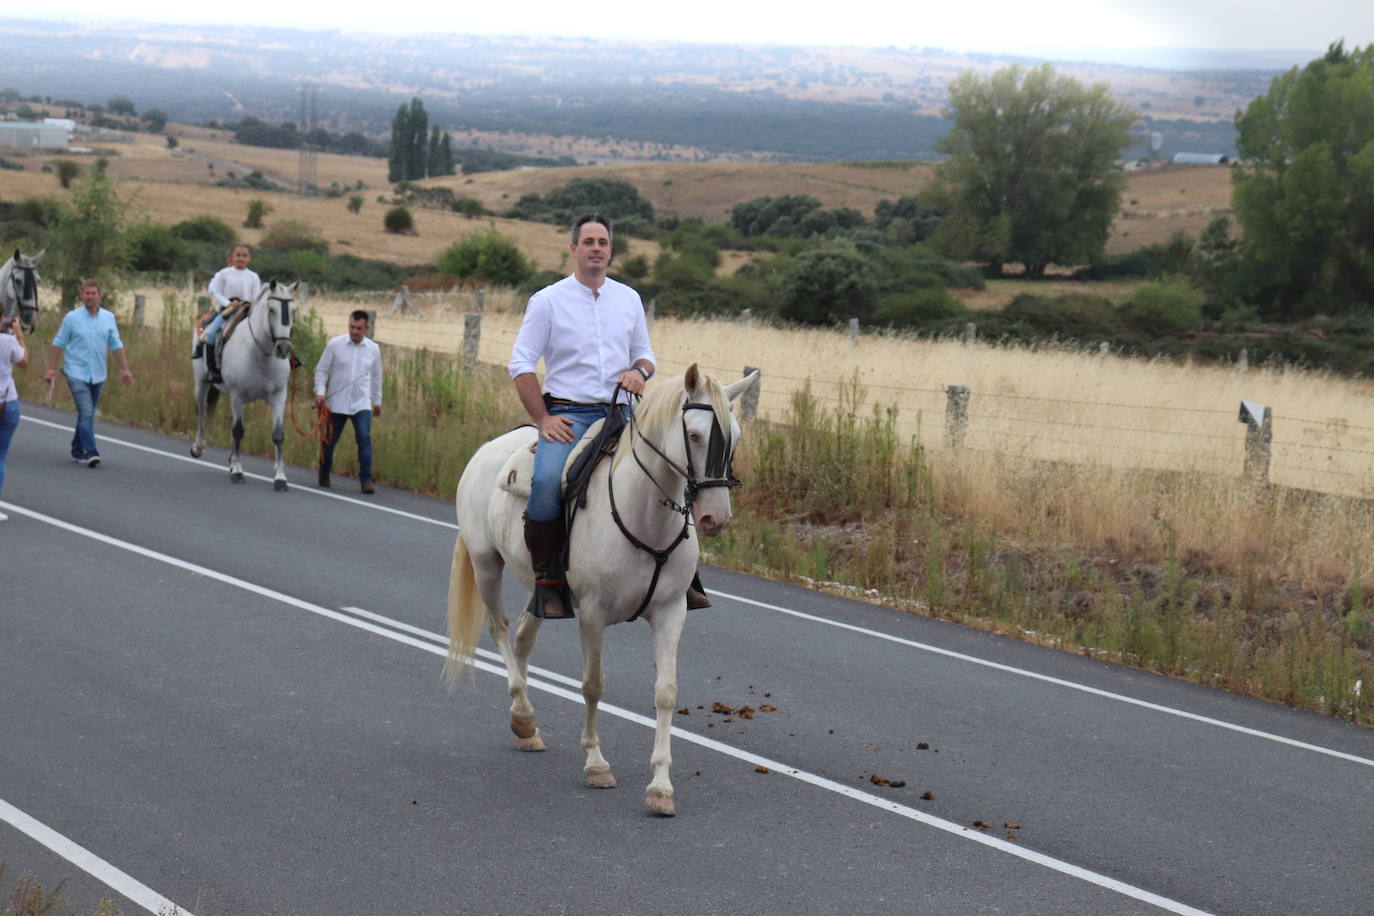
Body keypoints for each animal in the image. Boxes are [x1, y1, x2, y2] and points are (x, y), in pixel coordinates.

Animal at [190, 281, 295, 491]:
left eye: (293, 311)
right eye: (271, 310)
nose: (283, 348)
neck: (260, 353)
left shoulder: (279, 396)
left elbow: (278, 435)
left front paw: (280, 479)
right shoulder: (238, 395)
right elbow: (238, 431)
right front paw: (238, 472)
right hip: (202, 383)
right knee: (202, 412)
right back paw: (198, 447)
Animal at [442, 365, 758, 818]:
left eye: (735, 436)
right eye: (695, 435)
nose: (716, 518)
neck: (643, 514)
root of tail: (488, 448)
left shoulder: (670, 612)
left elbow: (666, 693)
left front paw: (661, 788)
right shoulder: (592, 614)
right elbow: (593, 685)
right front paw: (595, 764)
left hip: (541, 590)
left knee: (522, 637)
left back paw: (526, 727)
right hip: (486, 564)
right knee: (499, 628)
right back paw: (522, 711)